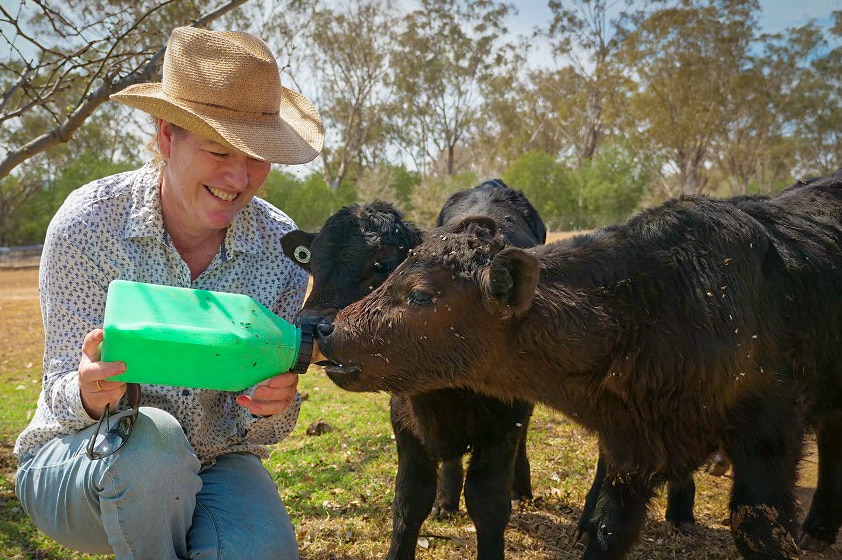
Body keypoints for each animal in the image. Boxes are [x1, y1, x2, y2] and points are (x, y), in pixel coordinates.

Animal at [282, 180, 544, 560]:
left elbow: (489, 505)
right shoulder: (405, 421)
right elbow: (410, 499)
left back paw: (521, 487)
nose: (313, 324)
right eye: (313, 262)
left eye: (382, 265)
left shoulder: (503, 425)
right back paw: (446, 502)